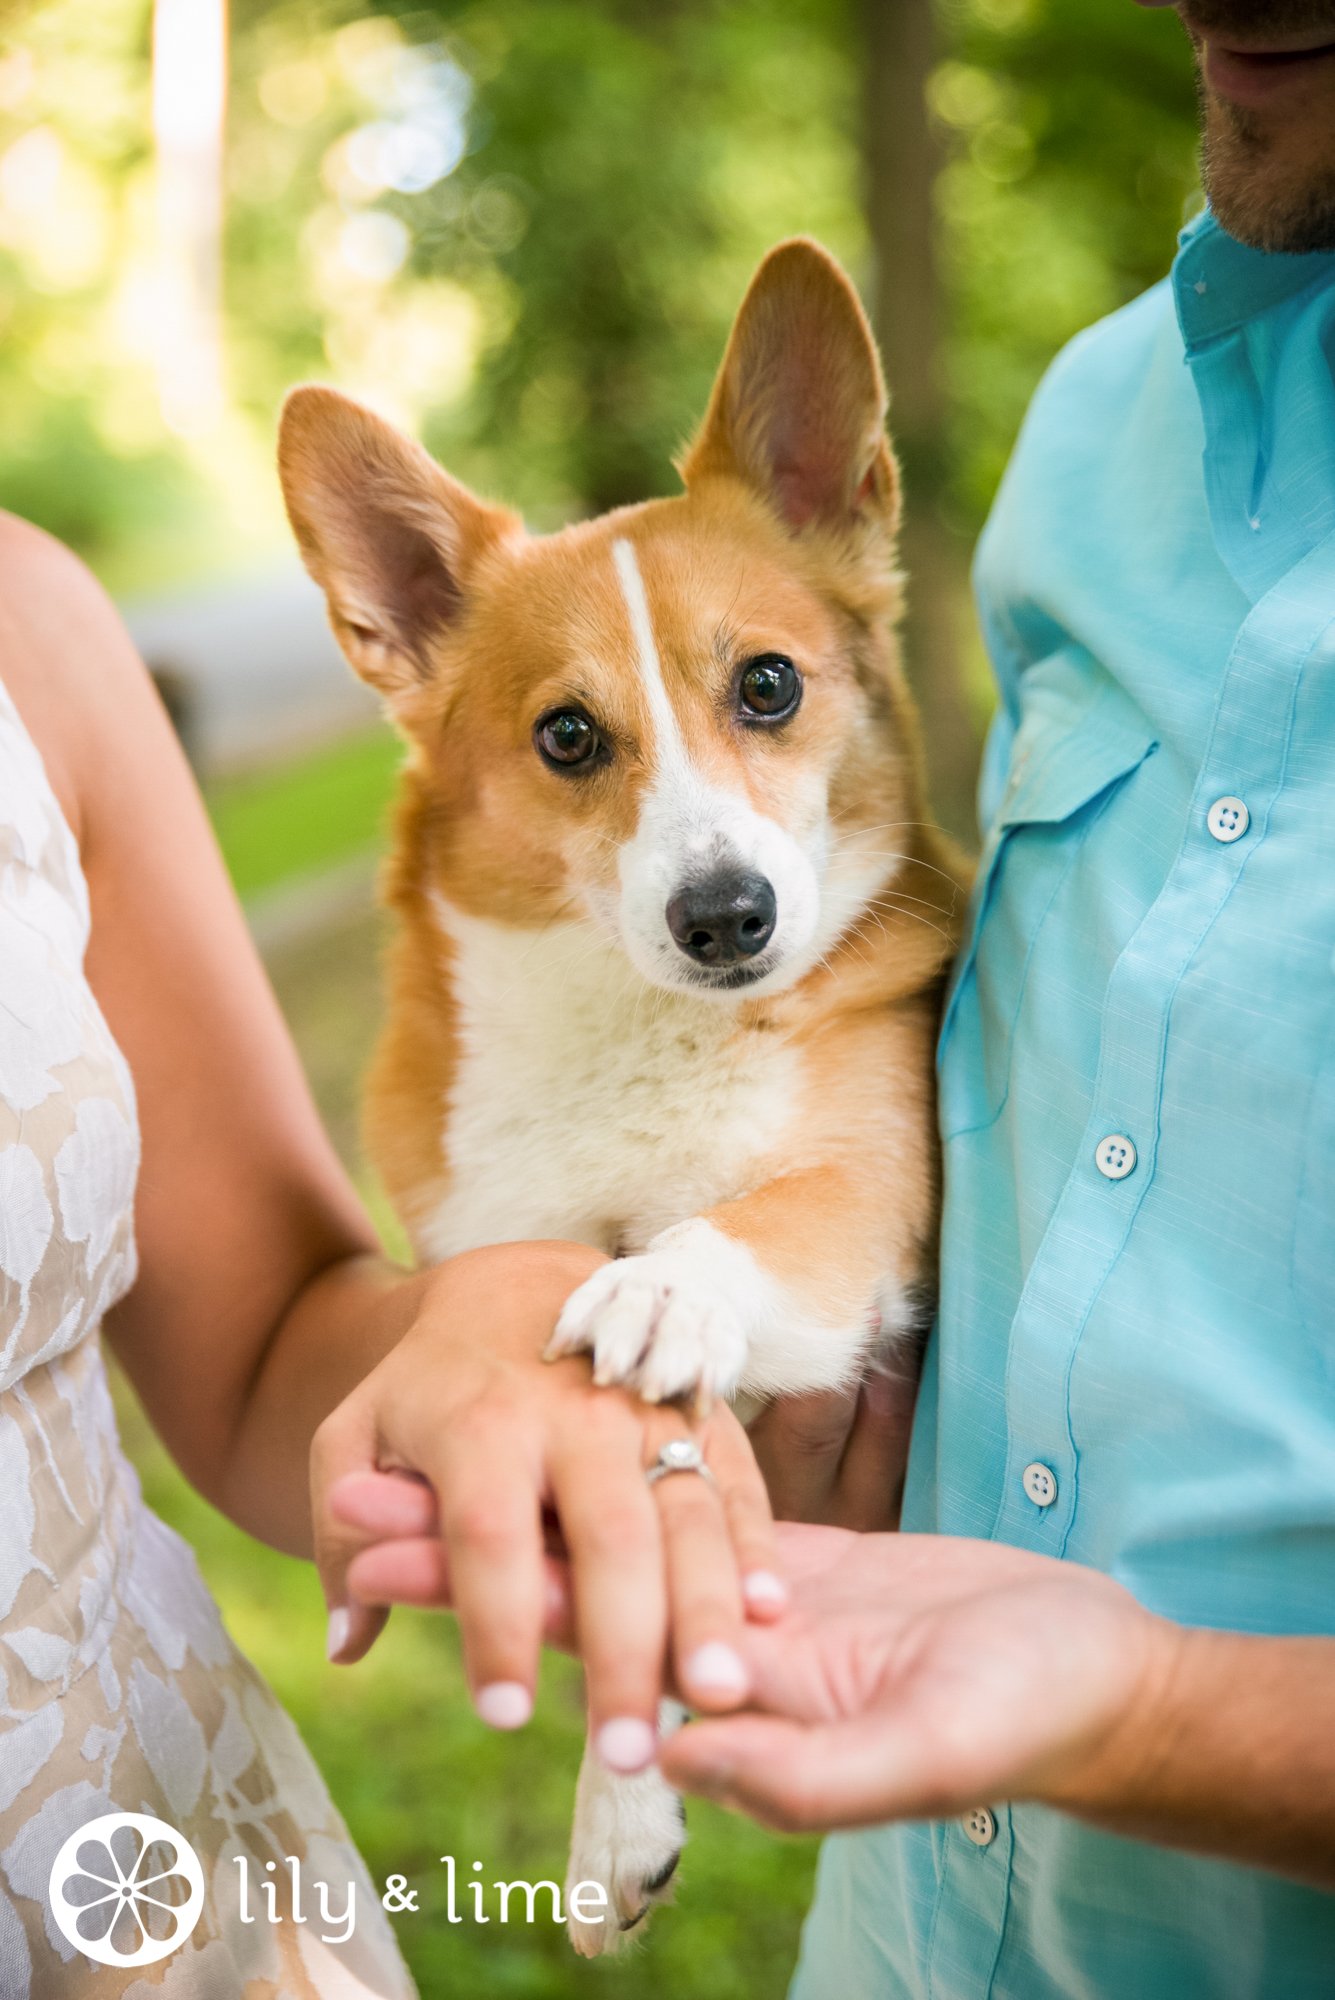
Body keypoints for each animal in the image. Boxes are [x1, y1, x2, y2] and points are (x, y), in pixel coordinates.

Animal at [281, 234, 963, 1952]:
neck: (635, 1032)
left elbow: (741, 1225)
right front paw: (618, 1816)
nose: (725, 919)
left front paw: (662, 1288)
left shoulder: (878, 1196)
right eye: (568, 735)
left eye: (770, 686)